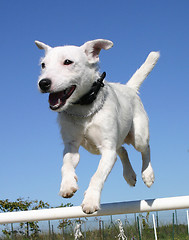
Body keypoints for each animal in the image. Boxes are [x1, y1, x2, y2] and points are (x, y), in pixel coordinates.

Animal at [34, 39, 159, 214]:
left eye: (68, 62)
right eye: (43, 65)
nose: (43, 83)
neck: (83, 109)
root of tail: (129, 88)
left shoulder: (107, 150)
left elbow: (97, 176)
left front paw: (91, 200)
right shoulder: (71, 147)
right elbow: (66, 165)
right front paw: (67, 185)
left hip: (138, 136)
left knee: (145, 148)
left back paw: (147, 174)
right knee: (122, 150)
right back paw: (129, 175)